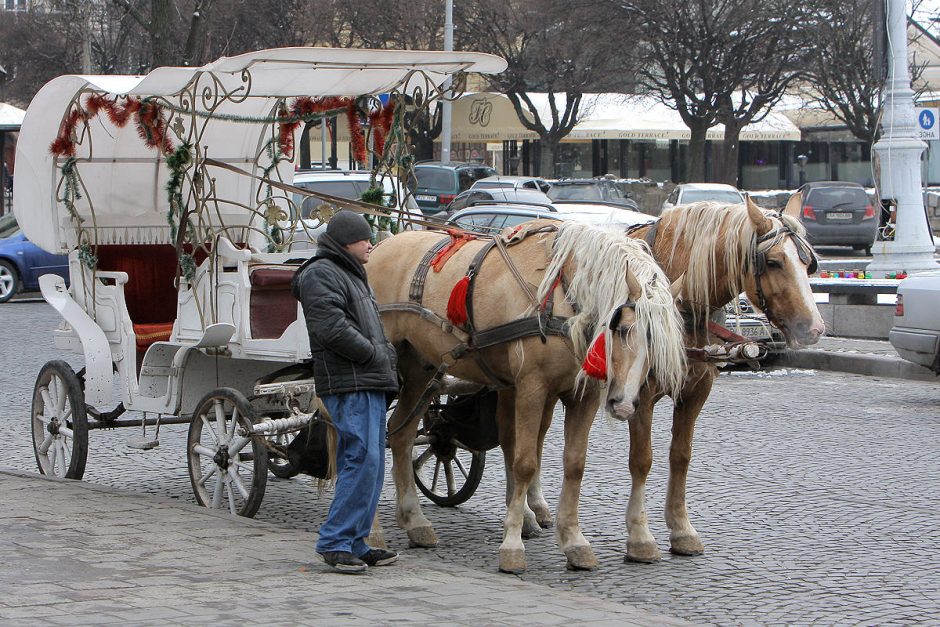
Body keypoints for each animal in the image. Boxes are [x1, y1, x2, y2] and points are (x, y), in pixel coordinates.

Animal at [370, 221, 688, 576]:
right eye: (622, 329)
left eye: (657, 343)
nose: (624, 404)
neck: (561, 297)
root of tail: (379, 247)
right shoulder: (531, 387)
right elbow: (524, 462)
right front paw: (512, 545)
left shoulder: (584, 396)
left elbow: (575, 465)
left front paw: (574, 541)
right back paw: (373, 534)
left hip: (420, 369)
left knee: (401, 436)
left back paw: (415, 521)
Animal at [608, 196, 824, 564]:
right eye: (773, 262)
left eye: (808, 263)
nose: (813, 327)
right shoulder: (639, 394)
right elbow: (642, 460)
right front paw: (640, 536)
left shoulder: (697, 390)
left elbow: (681, 455)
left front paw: (681, 529)